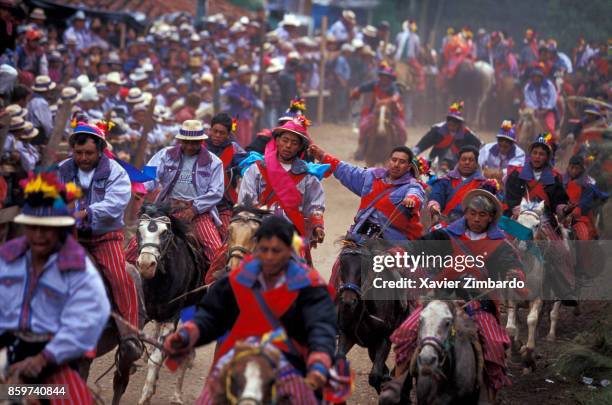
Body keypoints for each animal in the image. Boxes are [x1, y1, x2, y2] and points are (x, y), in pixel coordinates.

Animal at [134, 204, 208, 402]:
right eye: (139, 230)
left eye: (165, 232)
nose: (146, 265)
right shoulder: (143, 314)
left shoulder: (171, 318)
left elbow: (158, 358)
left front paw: (146, 395)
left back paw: (177, 394)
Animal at [334, 237, 412, 392]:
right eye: (342, 263)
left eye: (364, 266)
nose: (348, 300)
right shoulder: (347, 334)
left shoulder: (384, 339)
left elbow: (375, 376)